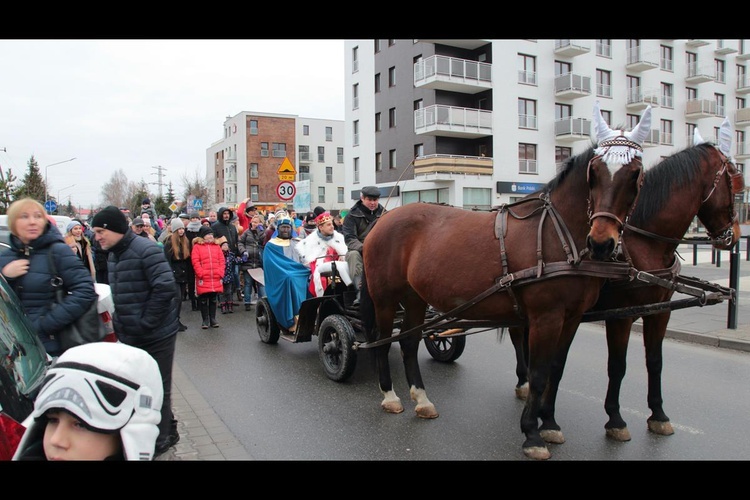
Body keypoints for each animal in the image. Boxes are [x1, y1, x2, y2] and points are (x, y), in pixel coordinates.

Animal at [362, 102, 652, 460]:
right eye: (594, 173)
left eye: (635, 175)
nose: (601, 242)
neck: (558, 235)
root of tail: (383, 219)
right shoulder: (545, 318)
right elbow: (539, 374)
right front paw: (532, 433)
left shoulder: (571, 318)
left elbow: (556, 369)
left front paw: (550, 423)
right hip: (385, 298)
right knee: (382, 339)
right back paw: (390, 395)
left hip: (415, 297)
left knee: (409, 341)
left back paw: (422, 399)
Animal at [512, 117, 748, 446]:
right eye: (734, 180)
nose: (734, 235)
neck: (645, 244)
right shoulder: (620, 315)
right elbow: (618, 366)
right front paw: (615, 418)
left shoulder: (659, 311)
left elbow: (655, 362)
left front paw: (658, 415)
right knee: (517, 337)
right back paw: (523, 382)